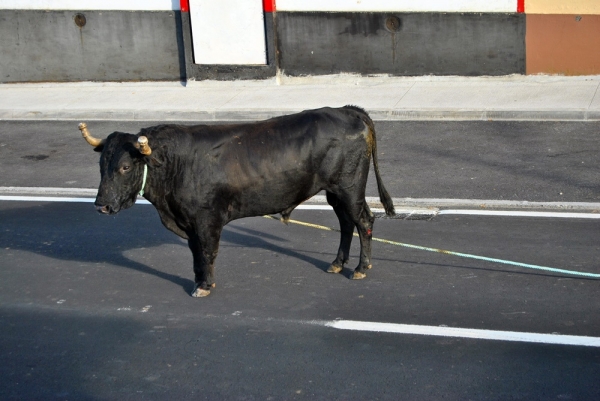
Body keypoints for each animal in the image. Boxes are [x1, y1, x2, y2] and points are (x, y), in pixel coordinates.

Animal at [82, 104, 396, 296]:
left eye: (125, 166)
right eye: (101, 165)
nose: (101, 205)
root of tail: (347, 110)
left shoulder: (207, 219)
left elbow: (207, 251)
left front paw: (205, 286)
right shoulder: (189, 222)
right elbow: (196, 254)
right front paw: (198, 281)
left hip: (349, 187)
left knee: (363, 220)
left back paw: (360, 268)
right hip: (335, 191)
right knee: (346, 222)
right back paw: (337, 263)